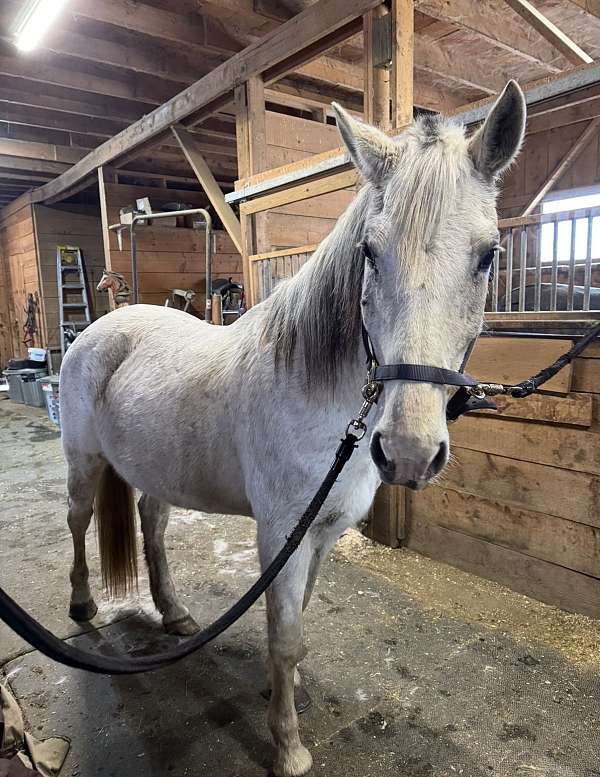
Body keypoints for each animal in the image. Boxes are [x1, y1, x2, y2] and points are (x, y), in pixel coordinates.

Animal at [59, 81, 526, 777]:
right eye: (369, 253)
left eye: (488, 255)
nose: (409, 453)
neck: (317, 397)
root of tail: (103, 326)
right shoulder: (281, 533)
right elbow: (282, 638)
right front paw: (287, 747)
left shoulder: (323, 534)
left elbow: (298, 627)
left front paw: (289, 696)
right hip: (83, 462)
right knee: (79, 520)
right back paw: (83, 606)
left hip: (158, 471)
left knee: (152, 526)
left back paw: (175, 615)